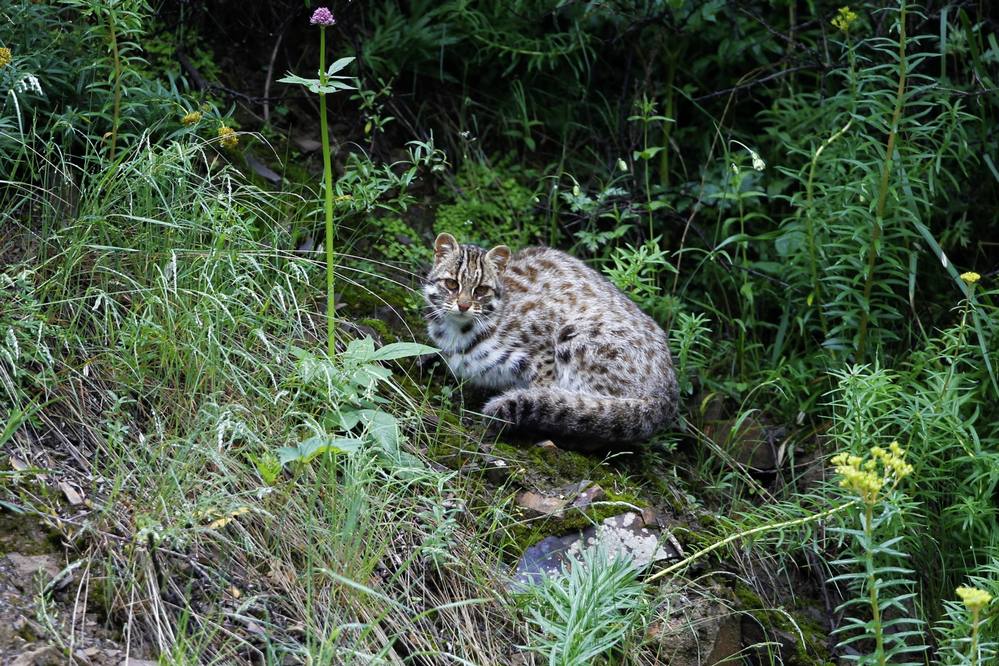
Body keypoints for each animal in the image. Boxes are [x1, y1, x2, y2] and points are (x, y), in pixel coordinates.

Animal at [422, 232, 680, 446]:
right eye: (451, 284)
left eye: (481, 290)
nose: (464, 305)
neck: (458, 329)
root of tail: (667, 395)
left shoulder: (545, 346)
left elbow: (546, 389)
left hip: (578, 334)